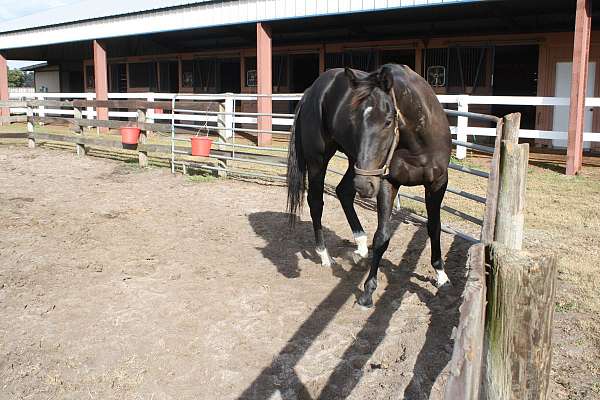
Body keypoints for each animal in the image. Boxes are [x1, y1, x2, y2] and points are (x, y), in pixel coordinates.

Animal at [286, 64, 450, 308]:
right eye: (355, 121)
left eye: (388, 121)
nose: (364, 186)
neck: (417, 143)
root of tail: (310, 92)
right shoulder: (387, 182)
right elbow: (382, 237)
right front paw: (368, 291)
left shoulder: (437, 183)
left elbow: (434, 227)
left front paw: (441, 275)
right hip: (321, 161)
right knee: (316, 202)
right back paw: (324, 255)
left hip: (356, 163)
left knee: (344, 192)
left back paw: (360, 245)